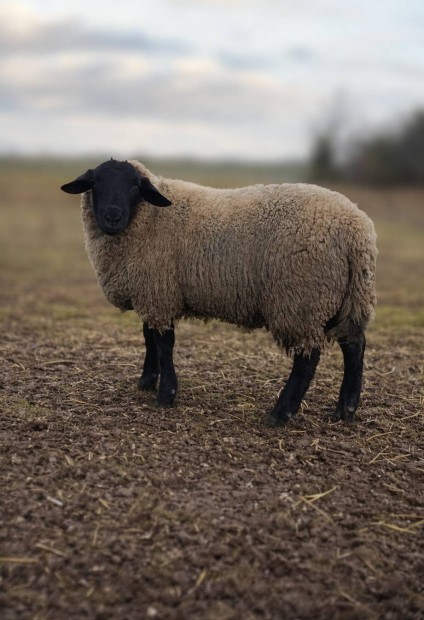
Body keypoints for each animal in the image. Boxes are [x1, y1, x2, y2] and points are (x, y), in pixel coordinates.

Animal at [61, 159, 377, 426]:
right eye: (96, 183)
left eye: (135, 186)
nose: (112, 216)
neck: (148, 219)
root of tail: (357, 231)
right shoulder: (151, 293)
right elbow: (148, 336)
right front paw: (147, 382)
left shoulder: (158, 291)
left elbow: (163, 343)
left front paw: (166, 395)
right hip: (346, 297)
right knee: (354, 345)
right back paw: (345, 410)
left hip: (302, 299)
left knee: (307, 360)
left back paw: (280, 414)